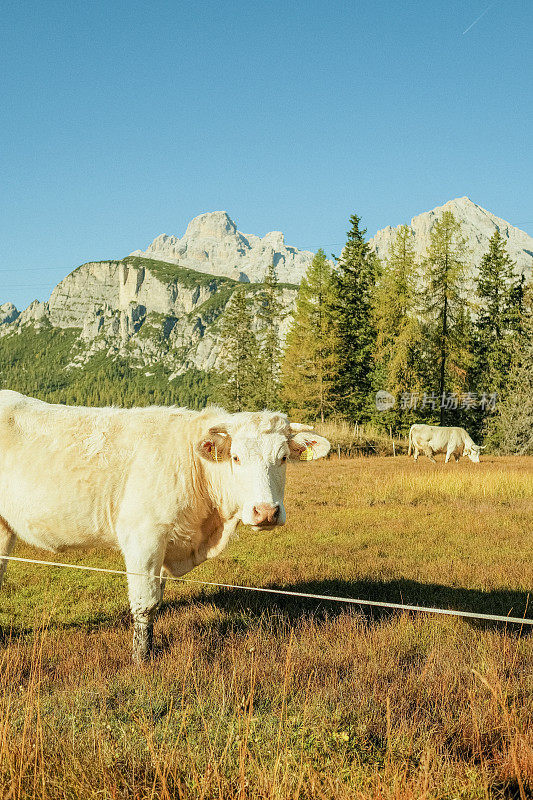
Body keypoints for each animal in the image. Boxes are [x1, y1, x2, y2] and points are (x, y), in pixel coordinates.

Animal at [0, 390, 328, 660]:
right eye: (236, 457)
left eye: (283, 458)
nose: (266, 511)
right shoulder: (143, 538)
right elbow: (145, 602)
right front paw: (141, 658)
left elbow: (157, 596)